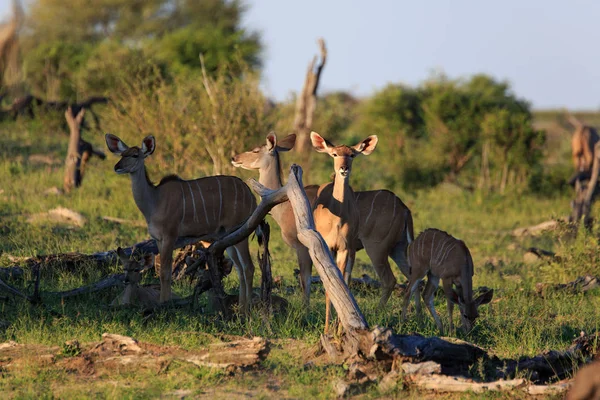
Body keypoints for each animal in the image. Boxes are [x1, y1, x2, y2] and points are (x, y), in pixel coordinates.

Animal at [106, 134, 256, 310]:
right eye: (122, 154)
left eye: (135, 155)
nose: (117, 167)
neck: (154, 200)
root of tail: (251, 195)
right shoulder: (158, 239)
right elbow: (163, 271)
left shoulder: (170, 236)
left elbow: (165, 272)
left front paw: (164, 304)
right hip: (228, 236)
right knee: (239, 268)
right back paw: (241, 306)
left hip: (241, 233)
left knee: (248, 267)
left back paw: (246, 309)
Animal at [231, 132, 412, 306]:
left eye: (255, 150)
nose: (235, 158)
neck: (285, 204)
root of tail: (404, 208)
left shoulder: (302, 247)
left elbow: (305, 280)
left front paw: (305, 309)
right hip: (397, 247)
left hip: (376, 248)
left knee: (389, 279)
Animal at [312, 131, 378, 332]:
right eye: (334, 154)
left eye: (352, 155)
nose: (343, 169)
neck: (337, 219)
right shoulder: (327, 248)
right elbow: (329, 287)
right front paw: (326, 330)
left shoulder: (344, 248)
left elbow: (341, 284)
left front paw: (340, 330)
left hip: (351, 252)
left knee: (346, 282)